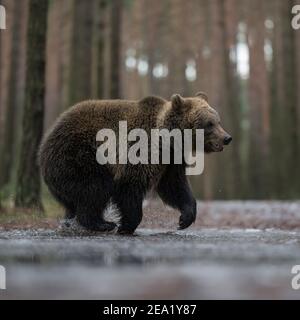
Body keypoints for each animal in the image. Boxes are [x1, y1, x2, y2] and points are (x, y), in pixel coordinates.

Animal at [38, 91, 232, 234]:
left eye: (219, 121)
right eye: (209, 123)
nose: (227, 138)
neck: (168, 139)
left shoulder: (170, 160)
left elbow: (175, 186)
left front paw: (185, 219)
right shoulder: (139, 150)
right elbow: (130, 186)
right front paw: (126, 226)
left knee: (75, 198)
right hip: (79, 156)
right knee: (94, 188)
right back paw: (102, 224)